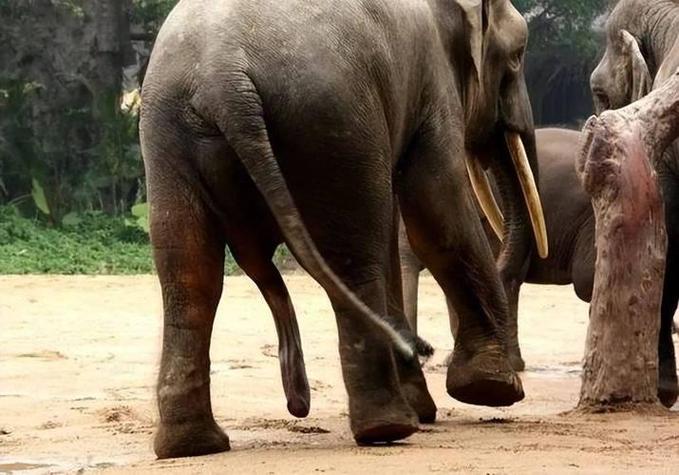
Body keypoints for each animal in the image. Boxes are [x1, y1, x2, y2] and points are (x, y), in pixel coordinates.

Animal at [140, 0, 546, 459]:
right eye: (517, 55)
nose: (424, 347)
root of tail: (224, 76)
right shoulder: (431, 80)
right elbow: (436, 211)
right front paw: (492, 389)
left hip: (169, 133)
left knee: (190, 276)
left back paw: (193, 445)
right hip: (330, 119)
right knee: (354, 258)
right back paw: (388, 428)